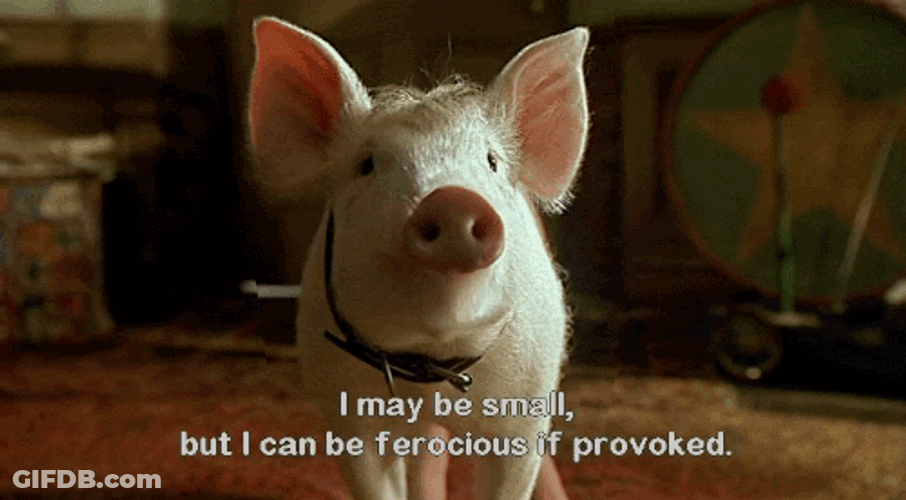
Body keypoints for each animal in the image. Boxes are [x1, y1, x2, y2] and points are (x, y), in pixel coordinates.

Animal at [248, 17, 589, 500]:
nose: (452, 201)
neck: (431, 362)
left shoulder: (524, 408)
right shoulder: (348, 418)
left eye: (491, 162)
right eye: (366, 165)